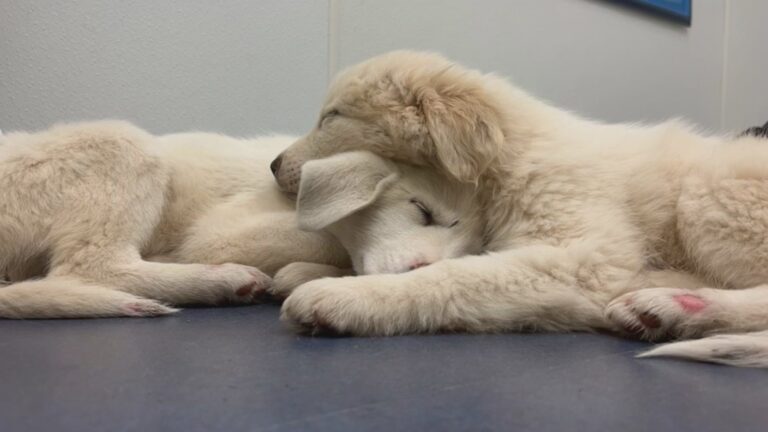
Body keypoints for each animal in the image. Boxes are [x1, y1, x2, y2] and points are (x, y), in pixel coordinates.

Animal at [272, 50, 768, 368]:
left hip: (706, 194)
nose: (274, 165)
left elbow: (455, 276)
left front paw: (347, 295)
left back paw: (675, 305)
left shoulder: (582, 257)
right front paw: (309, 271)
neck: (508, 161)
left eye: (331, 117)